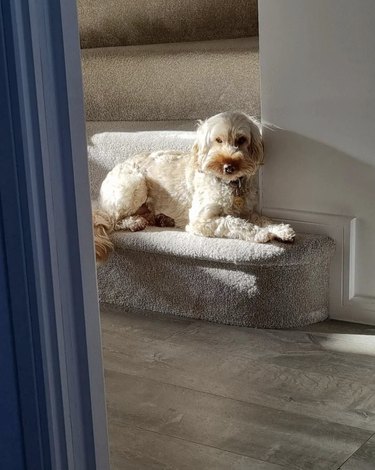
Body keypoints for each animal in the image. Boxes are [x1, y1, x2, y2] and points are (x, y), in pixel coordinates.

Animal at [92, 112, 296, 262]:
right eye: (218, 140)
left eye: (241, 140)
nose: (229, 166)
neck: (227, 183)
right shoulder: (201, 219)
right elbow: (233, 222)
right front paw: (262, 233)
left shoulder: (246, 211)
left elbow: (262, 218)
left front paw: (280, 229)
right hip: (134, 184)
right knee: (112, 219)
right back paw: (134, 222)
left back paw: (161, 219)